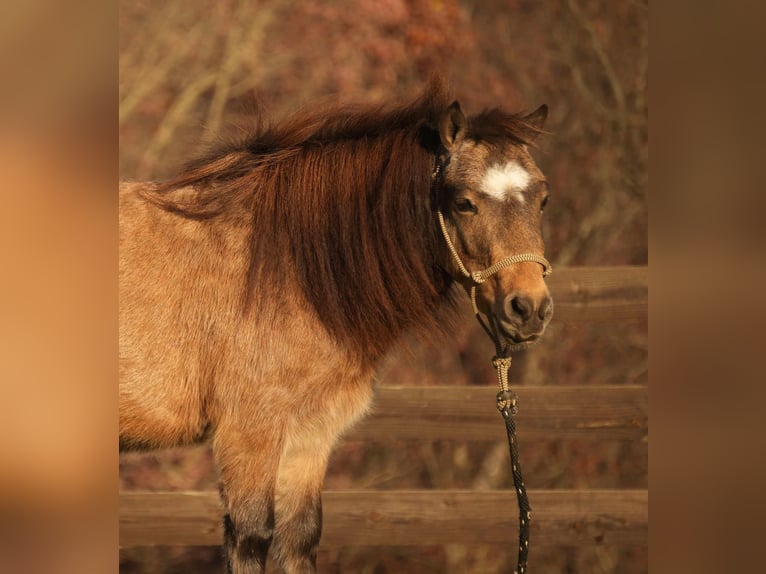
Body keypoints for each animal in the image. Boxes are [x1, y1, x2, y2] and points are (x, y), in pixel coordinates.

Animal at [118, 77, 552, 574]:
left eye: (543, 199)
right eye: (464, 203)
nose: (529, 308)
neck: (289, 264)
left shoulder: (310, 437)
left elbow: (301, 537)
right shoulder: (250, 431)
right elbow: (250, 538)